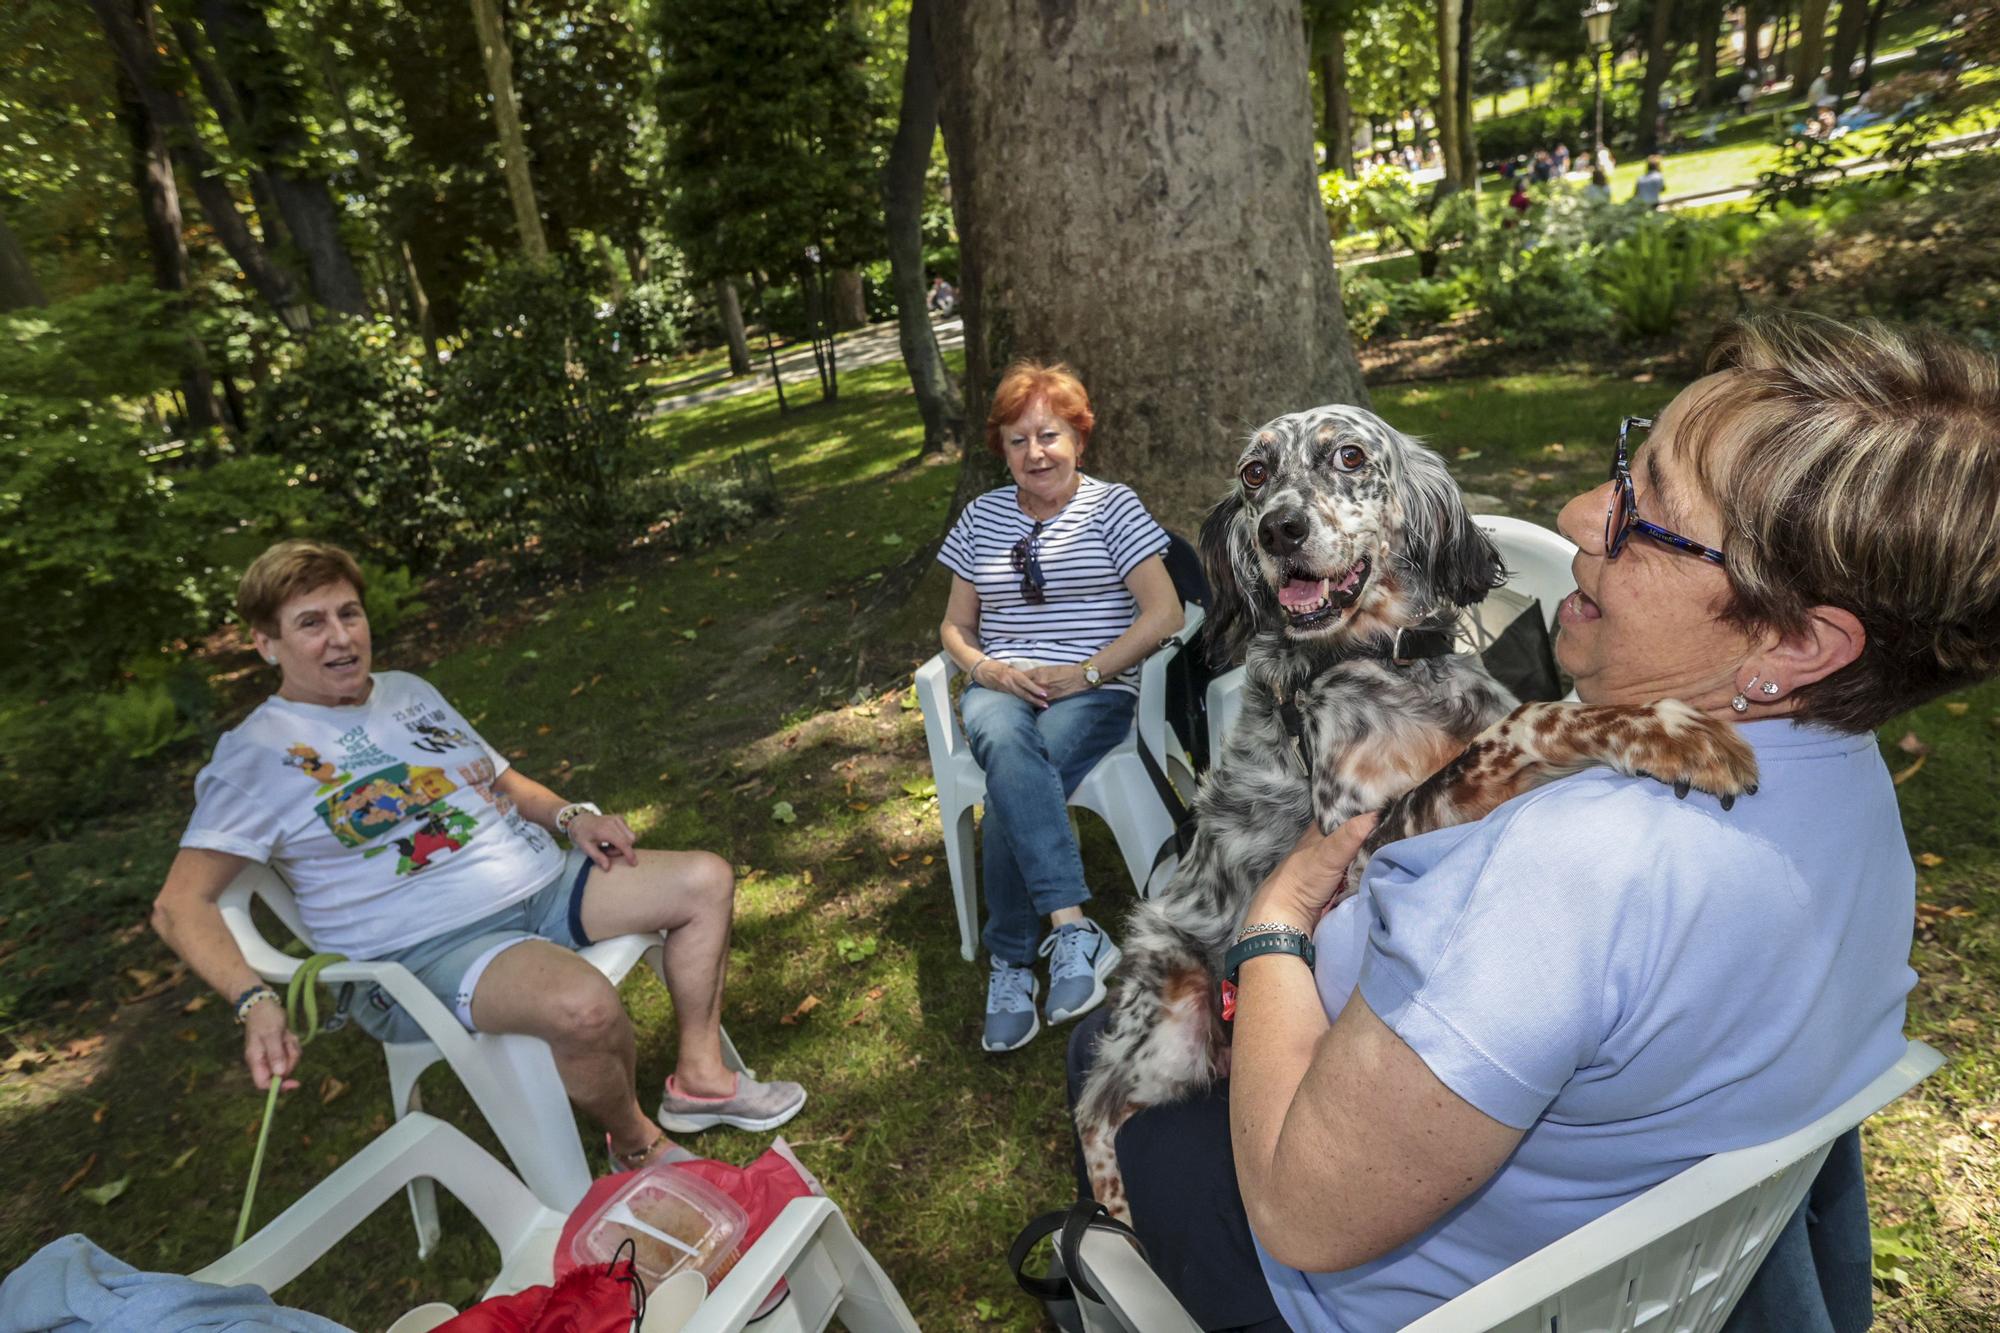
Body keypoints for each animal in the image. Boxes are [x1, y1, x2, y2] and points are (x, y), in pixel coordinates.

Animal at [1080, 402, 1752, 1216]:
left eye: (1348, 456)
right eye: (1255, 473)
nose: (1278, 529)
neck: (1383, 659)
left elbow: (1515, 720)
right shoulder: (1353, 850)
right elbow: (1529, 722)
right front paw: (1674, 733)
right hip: (1172, 1029)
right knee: (1097, 1103)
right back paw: (1112, 1204)